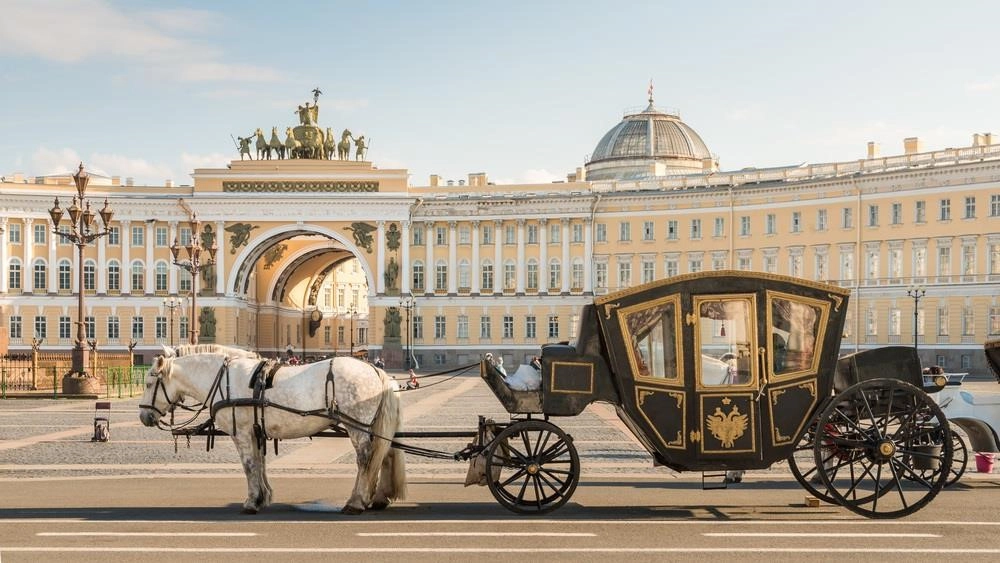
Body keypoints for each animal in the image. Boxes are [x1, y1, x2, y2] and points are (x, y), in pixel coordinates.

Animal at [138, 344, 406, 516]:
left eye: (149, 383)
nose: (143, 416)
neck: (224, 379)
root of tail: (375, 370)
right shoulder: (256, 432)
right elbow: (260, 463)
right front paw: (262, 497)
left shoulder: (241, 433)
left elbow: (249, 465)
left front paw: (251, 502)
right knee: (383, 455)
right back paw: (374, 498)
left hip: (357, 426)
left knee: (365, 459)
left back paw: (356, 502)